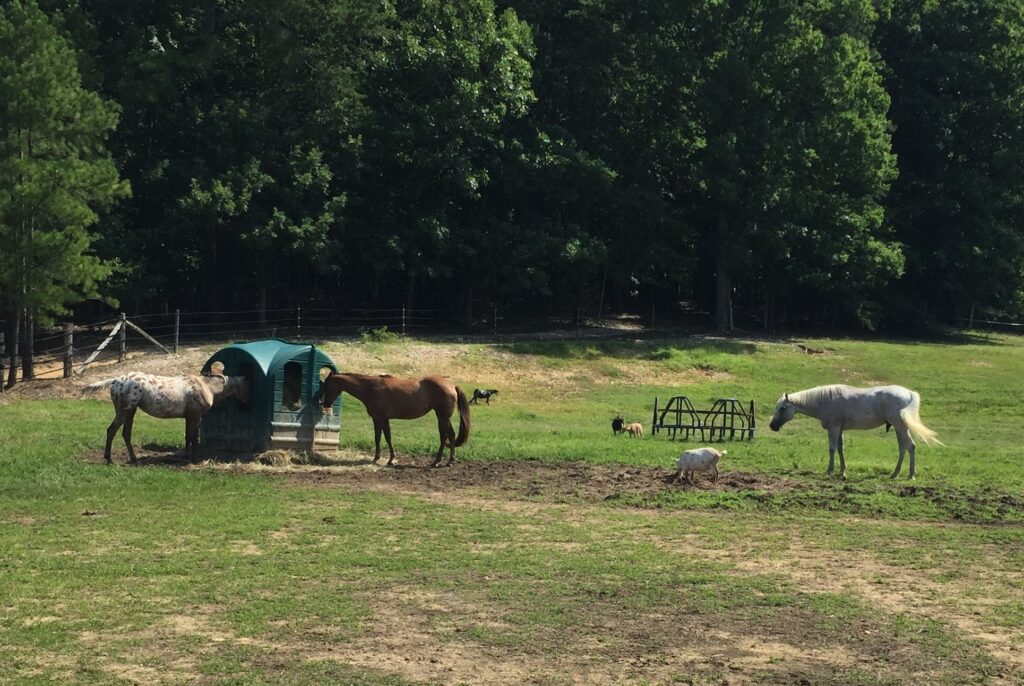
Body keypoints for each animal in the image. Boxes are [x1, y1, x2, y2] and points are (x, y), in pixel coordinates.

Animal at [82, 372, 249, 464]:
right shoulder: (196, 416)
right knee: (112, 430)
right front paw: (194, 460)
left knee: (125, 433)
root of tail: (116, 380)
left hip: (130, 412)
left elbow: (188, 437)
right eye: (248, 386)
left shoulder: (188, 417)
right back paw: (109, 459)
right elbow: (194, 438)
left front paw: (185, 456)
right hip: (124, 411)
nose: (249, 403)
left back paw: (134, 459)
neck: (206, 387)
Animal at [315, 372, 471, 470]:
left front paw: (381, 459)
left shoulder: (379, 418)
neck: (371, 388)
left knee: (450, 436)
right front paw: (386, 459)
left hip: (444, 417)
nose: (324, 403)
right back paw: (437, 461)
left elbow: (381, 438)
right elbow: (385, 438)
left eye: (327, 385)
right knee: (444, 437)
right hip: (441, 417)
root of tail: (452, 385)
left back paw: (449, 461)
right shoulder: (382, 420)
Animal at [770, 384, 942, 481]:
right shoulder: (839, 429)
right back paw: (895, 473)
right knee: (903, 448)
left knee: (910, 447)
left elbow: (832, 449)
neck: (824, 400)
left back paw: (911, 475)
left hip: (900, 427)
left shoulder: (833, 428)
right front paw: (842, 471)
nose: (772, 426)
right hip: (899, 428)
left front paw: (830, 470)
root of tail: (909, 393)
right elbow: (841, 449)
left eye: (782, 408)